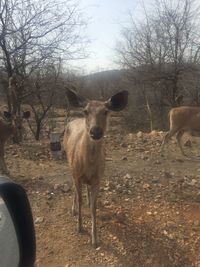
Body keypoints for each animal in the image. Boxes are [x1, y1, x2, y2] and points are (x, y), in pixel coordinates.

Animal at [63, 89, 128, 248]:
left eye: (106, 111)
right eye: (85, 111)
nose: (96, 131)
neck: (89, 163)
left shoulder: (98, 178)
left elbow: (94, 207)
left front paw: (95, 239)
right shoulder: (77, 174)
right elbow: (79, 199)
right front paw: (79, 227)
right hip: (69, 163)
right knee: (74, 188)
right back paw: (73, 209)